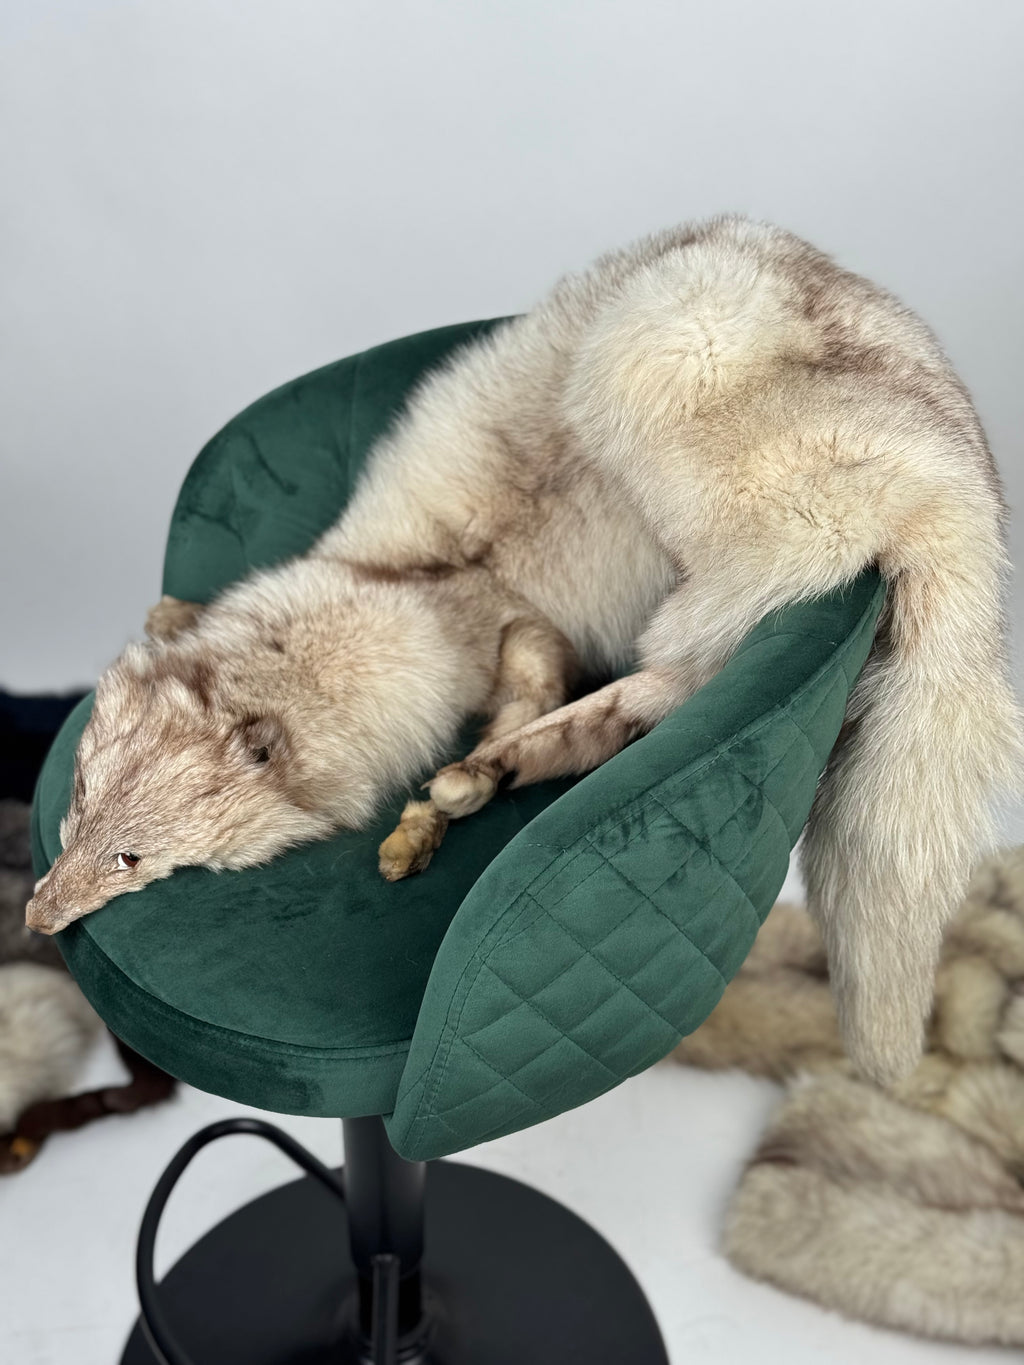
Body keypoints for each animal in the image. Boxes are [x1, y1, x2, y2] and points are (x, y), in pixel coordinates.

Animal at [25, 216, 1023, 1084]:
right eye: (78, 804)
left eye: (132, 860)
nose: (37, 914)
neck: (422, 587)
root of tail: (959, 465)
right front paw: (175, 611)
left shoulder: (521, 629)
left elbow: (531, 686)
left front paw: (442, 803)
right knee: (654, 698)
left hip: (672, 405)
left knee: (671, 681)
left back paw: (479, 775)